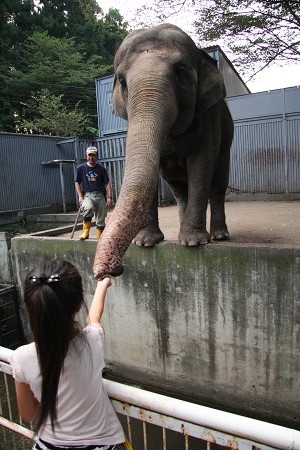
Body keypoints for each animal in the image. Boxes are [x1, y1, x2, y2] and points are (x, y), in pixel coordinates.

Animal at [92, 22, 233, 280]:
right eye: (122, 81)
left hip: (227, 145)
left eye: (180, 72)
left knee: (217, 185)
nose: (106, 272)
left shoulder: (208, 122)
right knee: (179, 191)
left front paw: (194, 243)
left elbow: (201, 168)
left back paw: (217, 236)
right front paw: (145, 243)